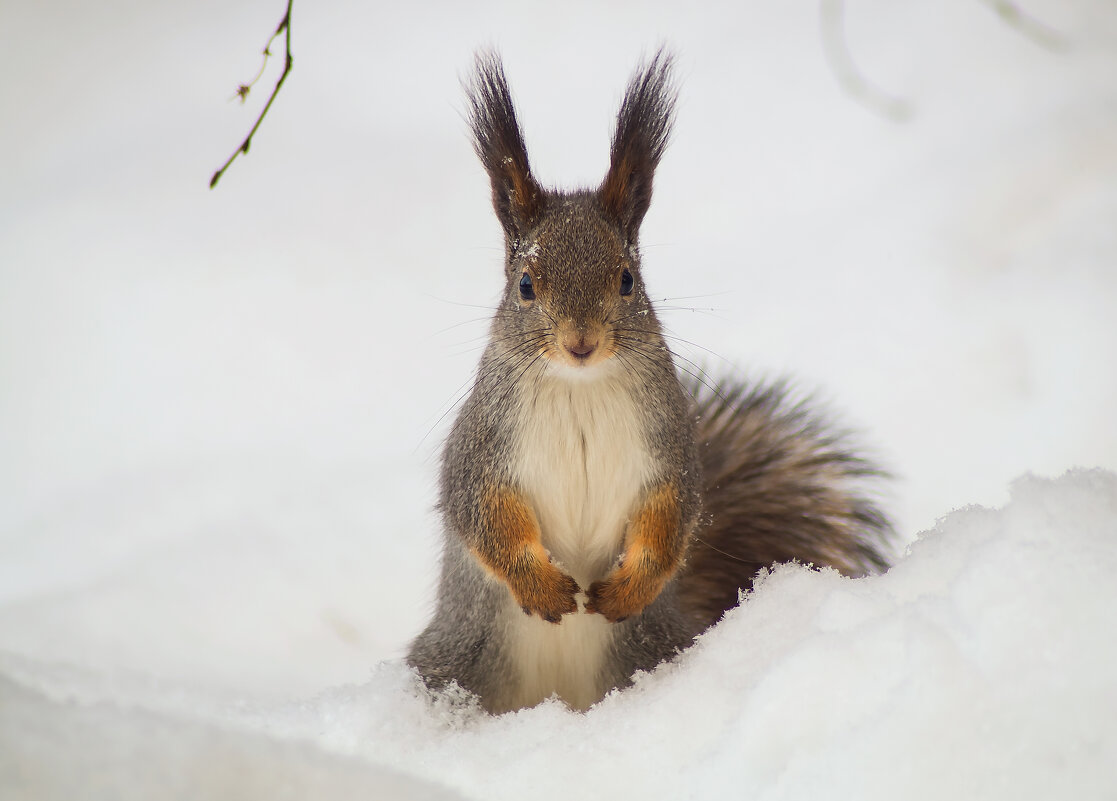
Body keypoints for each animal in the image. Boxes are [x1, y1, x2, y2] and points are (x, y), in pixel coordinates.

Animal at [404, 49, 889, 710]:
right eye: (525, 284)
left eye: (627, 279)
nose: (581, 342)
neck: (580, 388)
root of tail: (561, 700)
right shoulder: (482, 447)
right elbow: (484, 513)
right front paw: (543, 585)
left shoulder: (668, 447)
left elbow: (670, 518)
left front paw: (625, 590)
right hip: (454, 663)